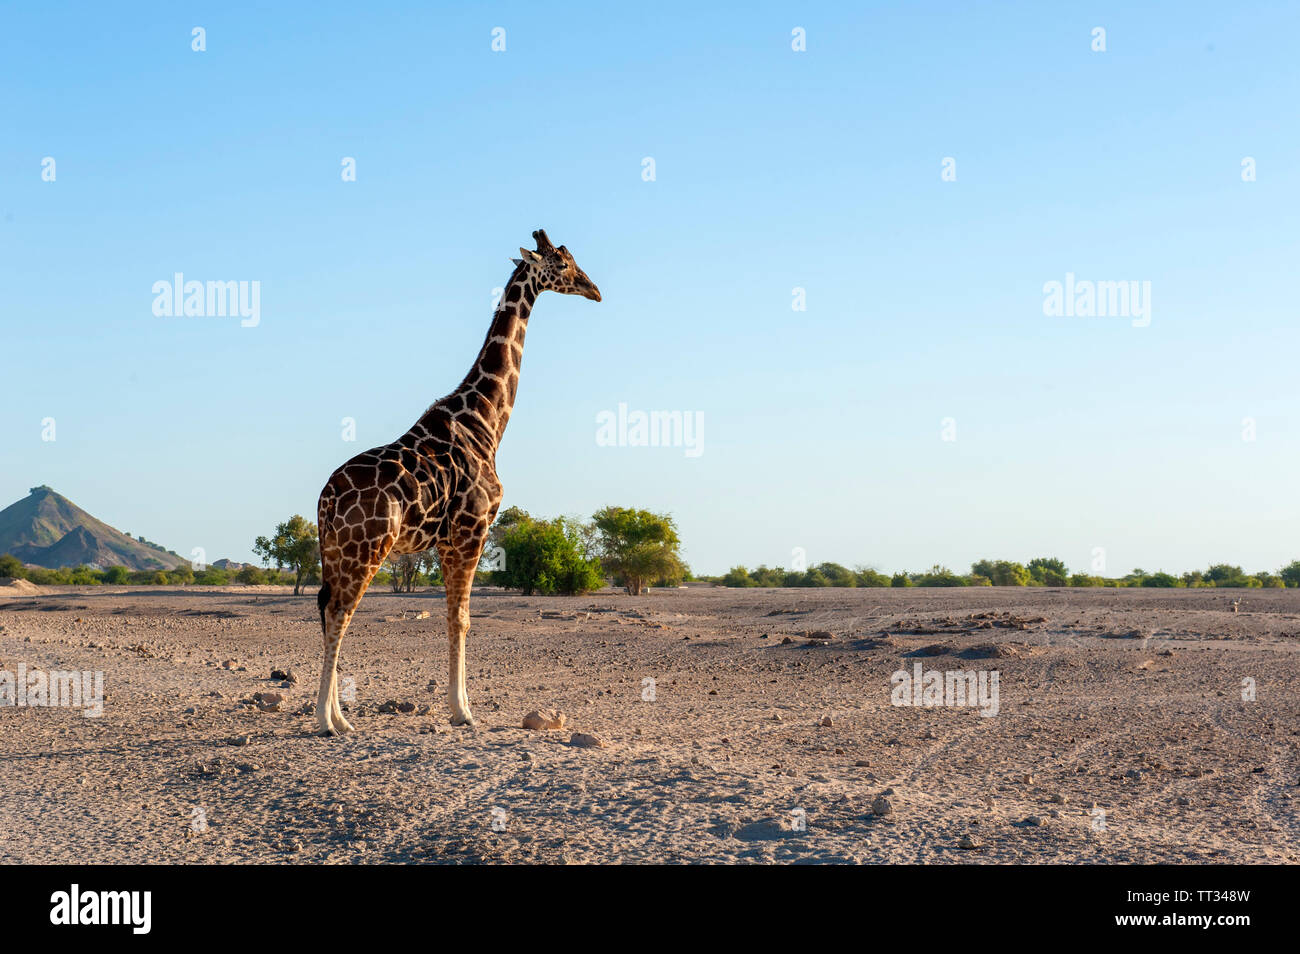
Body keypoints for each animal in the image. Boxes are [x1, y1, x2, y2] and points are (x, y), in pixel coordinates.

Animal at [313, 229, 601, 735]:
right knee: (339, 612)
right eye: (564, 264)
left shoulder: (448, 541)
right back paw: (329, 722)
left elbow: (454, 617)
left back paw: (338, 718)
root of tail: (325, 501)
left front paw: (459, 706)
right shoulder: (472, 531)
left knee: (329, 609)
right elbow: (462, 619)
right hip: (365, 548)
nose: (595, 289)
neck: (486, 420)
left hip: (334, 551)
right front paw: (463, 711)